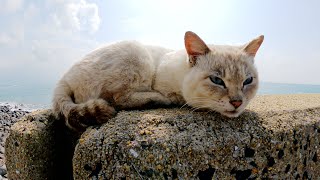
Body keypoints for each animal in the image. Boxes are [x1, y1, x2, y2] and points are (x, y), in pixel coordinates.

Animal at [52, 31, 262, 132]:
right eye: (217, 80)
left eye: (248, 81)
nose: (237, 102)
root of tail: (63, 78)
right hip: (137, 53)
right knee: (117, 99)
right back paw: (158, 99)